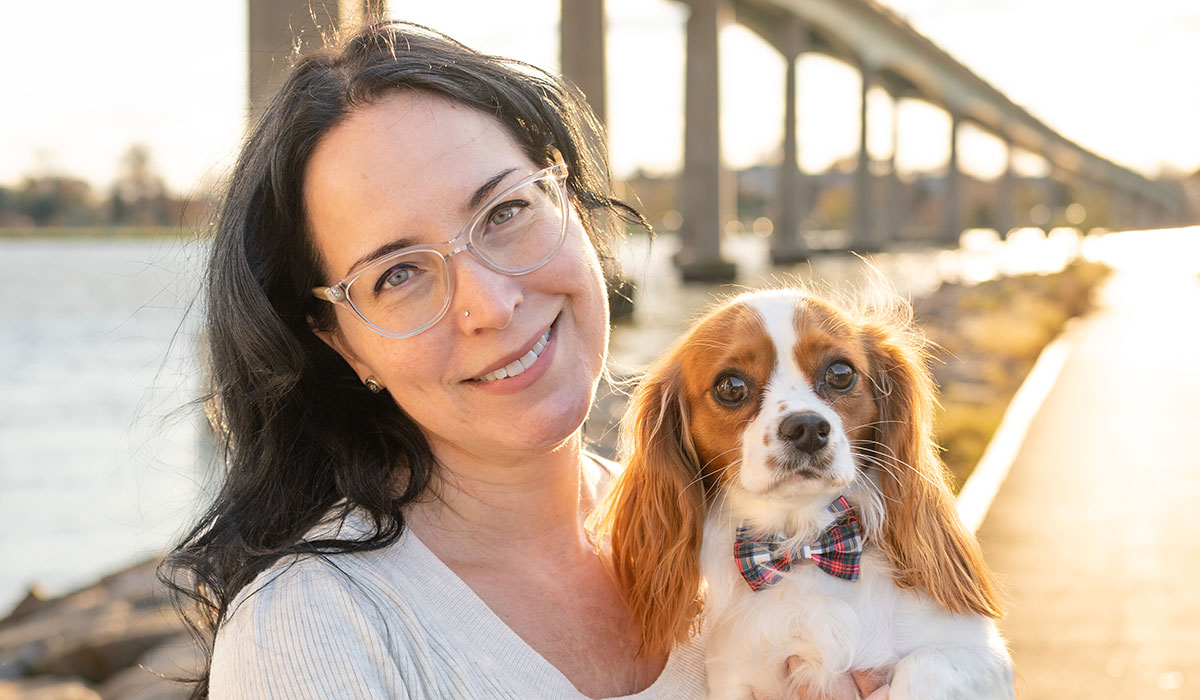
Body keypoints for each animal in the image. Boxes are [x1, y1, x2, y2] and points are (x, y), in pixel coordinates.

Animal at [600, 288, 1012, 696]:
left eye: (840, 373)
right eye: (731, 387)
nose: (807, 427)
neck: (804, 543)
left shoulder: (976, 650)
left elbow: (923, 668)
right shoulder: (733, 678)